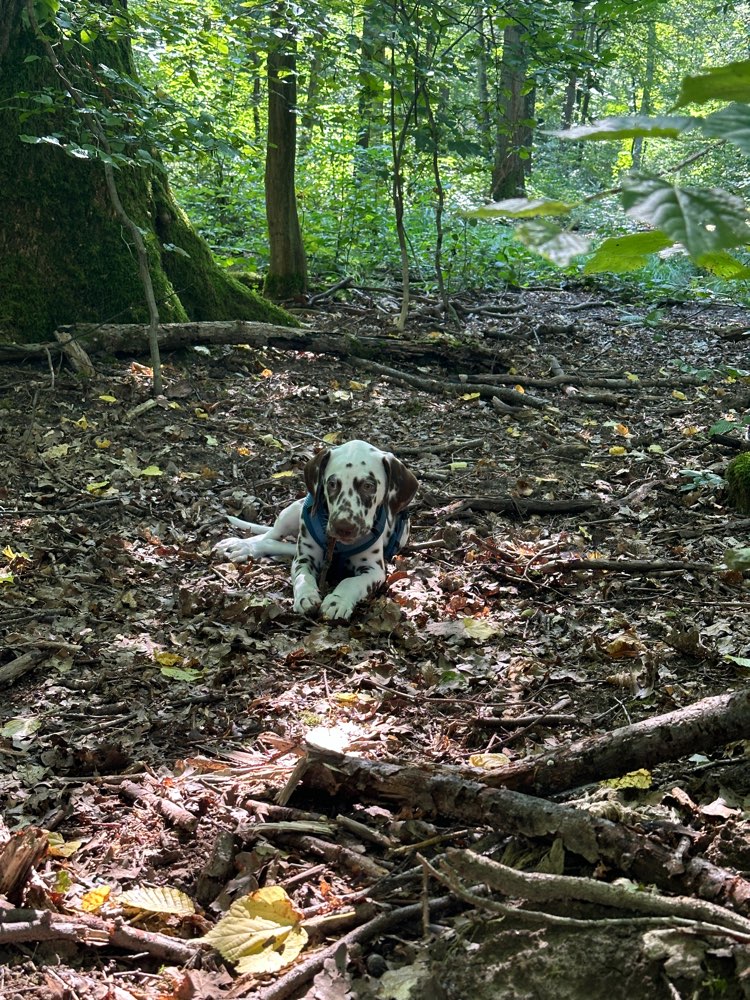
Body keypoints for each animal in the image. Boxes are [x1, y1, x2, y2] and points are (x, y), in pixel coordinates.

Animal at [214, 442, 420, 620]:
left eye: (368, 486)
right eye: (332, 484)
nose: (343, 527)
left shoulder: (374, 570)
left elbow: (351, 582)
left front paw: (338, 601)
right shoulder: (304, 558)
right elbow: (302, 577)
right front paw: (306, 596)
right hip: (291, 513)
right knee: (267, 537)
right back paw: (242, 546)